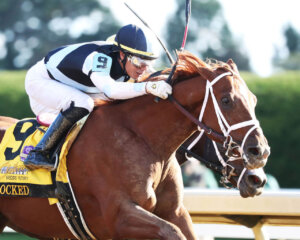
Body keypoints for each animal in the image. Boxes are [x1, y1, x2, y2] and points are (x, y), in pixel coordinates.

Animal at [0, 51, 270, 239]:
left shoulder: (175, 211)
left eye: (254, 99)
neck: (146, 142)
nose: (260, 153)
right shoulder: (120, 216)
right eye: (226, 100)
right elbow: (172, 232)